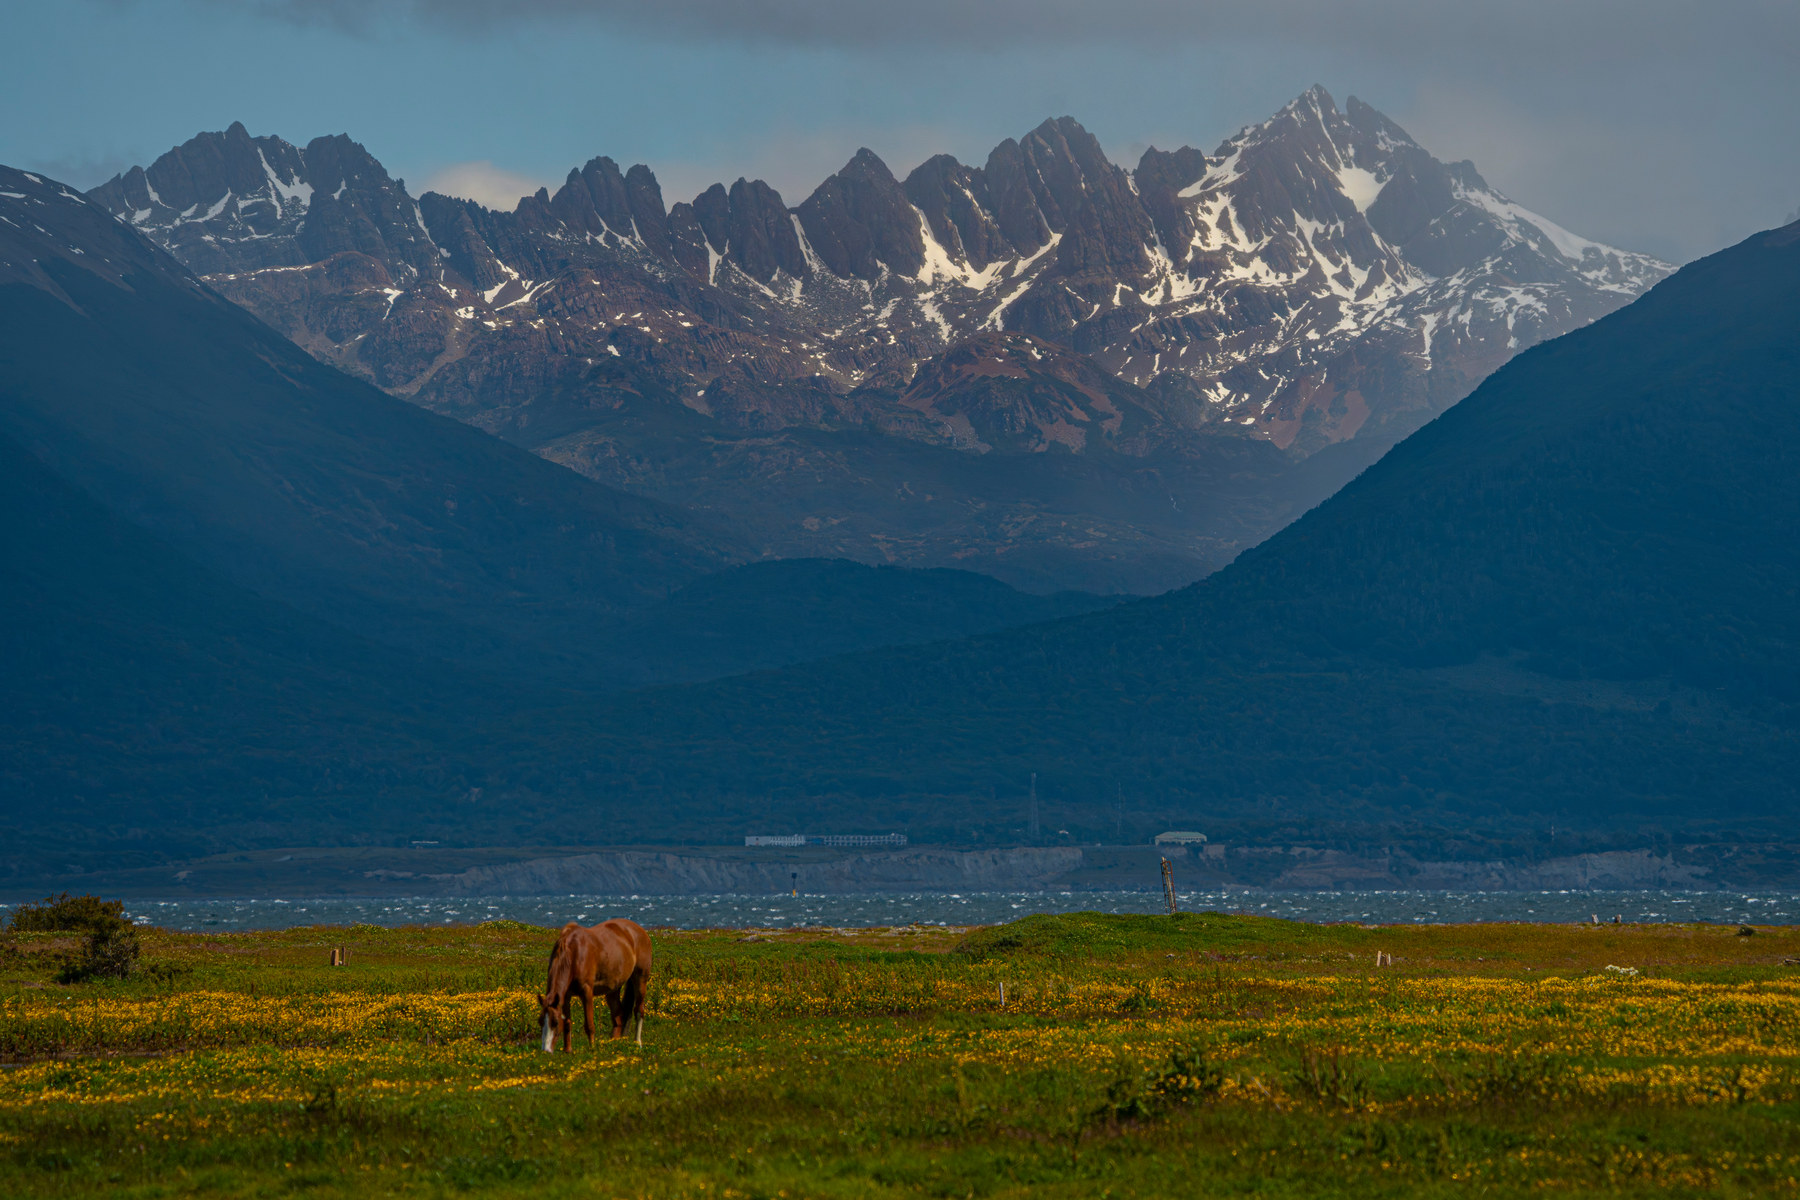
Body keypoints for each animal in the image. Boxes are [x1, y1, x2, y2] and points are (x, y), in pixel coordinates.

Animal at [536, 918, 653, 1052]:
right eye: (540, 1021)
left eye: (555, 1022)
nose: (545, 1050)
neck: (573, 954)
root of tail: (640, 931)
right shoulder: (565, 996)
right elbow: (567, 1023)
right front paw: (568, 1050)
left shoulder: (586, 992)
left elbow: (589, 1024)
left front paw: (592, 1049)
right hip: (612, 990)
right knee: (619, 1016)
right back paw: (614, 1043)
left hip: (640, 979)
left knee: (639, 1010)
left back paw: (637, 1042)